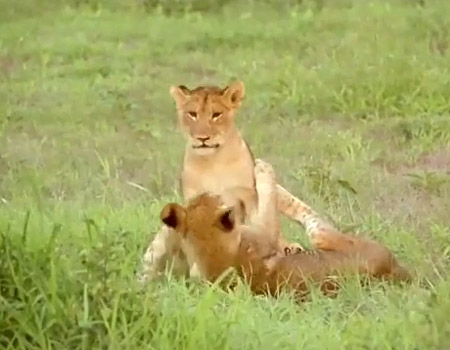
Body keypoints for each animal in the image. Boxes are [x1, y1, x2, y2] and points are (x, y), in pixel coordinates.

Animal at [158, 160, 412, 300]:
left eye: (204, 197)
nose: (207, 191)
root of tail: (394, 269)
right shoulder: (264, 232)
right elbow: (268, 204)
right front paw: (262, 170)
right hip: (332, 238)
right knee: (313, 222)